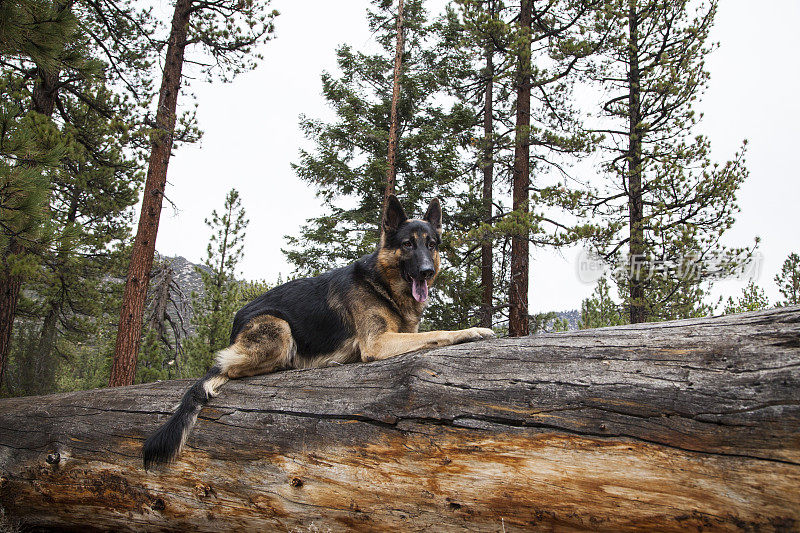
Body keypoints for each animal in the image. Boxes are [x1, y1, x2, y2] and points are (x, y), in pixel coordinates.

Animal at [144, 194, 494, 466]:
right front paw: (474, 330)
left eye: (431, 245)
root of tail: (236, 321)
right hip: (280, 329)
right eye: (408, 244)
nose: (426, 271)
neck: (382, 284)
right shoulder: (377, 343)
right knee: (229, 366)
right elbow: (435, 334)